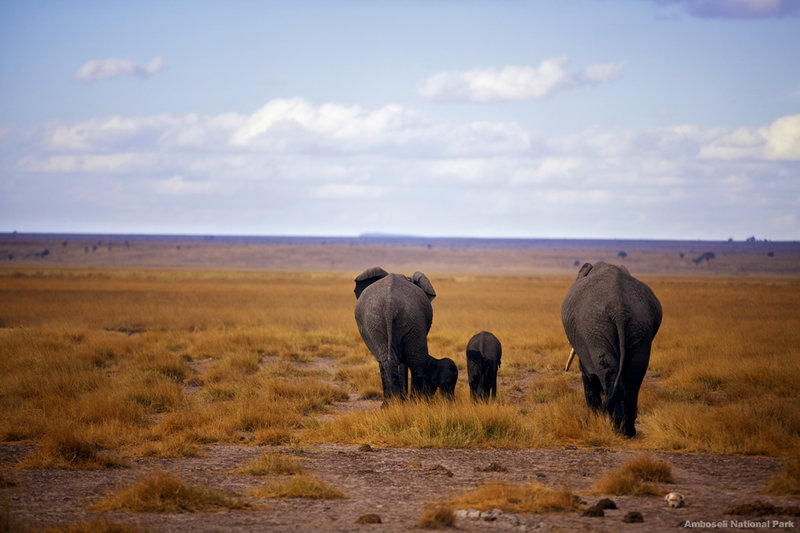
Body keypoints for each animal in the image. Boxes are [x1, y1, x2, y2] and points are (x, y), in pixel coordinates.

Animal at [560, 260, 660, 436]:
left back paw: (616, 428)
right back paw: (628, 431)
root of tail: (619, 310)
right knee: (634, 375)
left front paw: (594, 418)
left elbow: (587, 373)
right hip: (639, 326)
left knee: (608, 375)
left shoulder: (584, 341)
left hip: (595, 330)